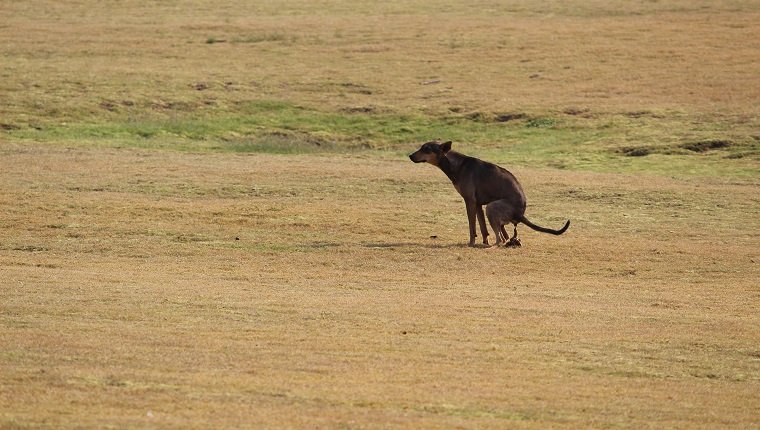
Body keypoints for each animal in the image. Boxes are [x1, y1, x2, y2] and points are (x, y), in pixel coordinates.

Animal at [410, 141, 568, 245]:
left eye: (426, 149)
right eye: (422, 147)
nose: (410, 155)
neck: (455, 164)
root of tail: (520, 214)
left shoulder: (470, 201)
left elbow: (472, 226)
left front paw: (471, 243)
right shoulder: (478, 204)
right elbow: (482, 227)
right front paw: (484, 241)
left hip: (491, 207)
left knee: (500, 240)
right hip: (493, 212)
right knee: (504, 237)